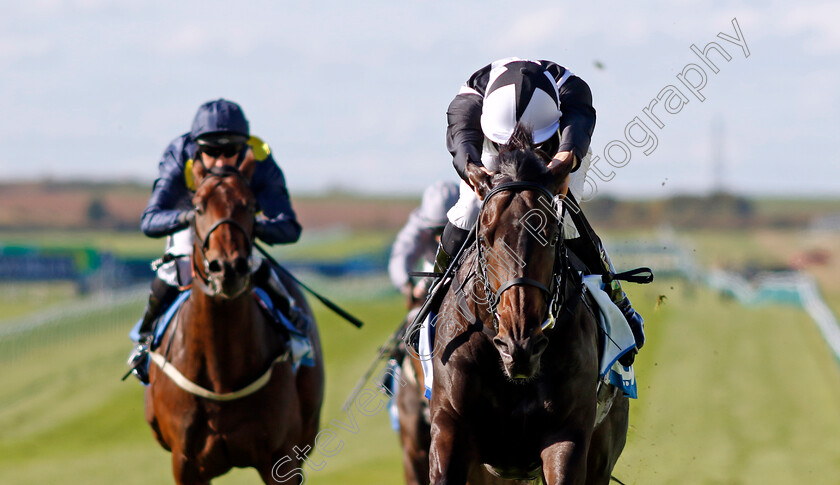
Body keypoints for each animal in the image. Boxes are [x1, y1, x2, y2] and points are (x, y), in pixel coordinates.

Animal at [144, 157, 322, 482]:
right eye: (198, 207)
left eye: (250, 206)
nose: (228, 267)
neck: (221, 372)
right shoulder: (185, 464)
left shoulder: (283, 459)